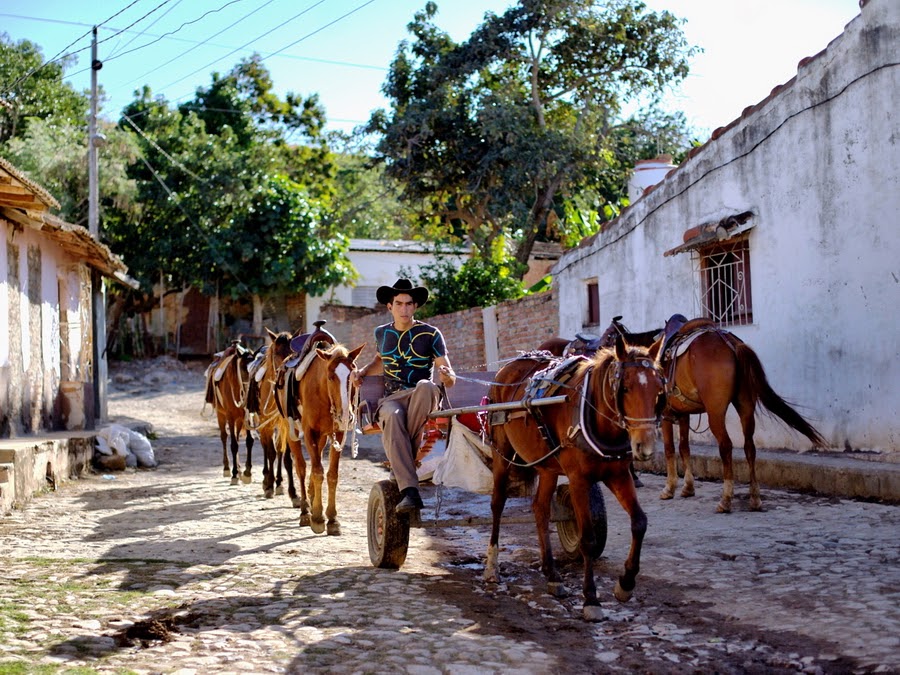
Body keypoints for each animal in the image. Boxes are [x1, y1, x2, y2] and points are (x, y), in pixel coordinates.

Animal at [205, 344, 255, 486]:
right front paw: (234, 474)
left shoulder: (247, 416)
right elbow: (233, 445)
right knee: (224, 437)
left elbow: (249, 441)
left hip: (239, 419)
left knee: (237, 438)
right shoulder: (230, 417)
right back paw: (228, 468)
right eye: (243, 370)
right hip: (221, 415)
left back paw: (239, 468)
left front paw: (247, 472)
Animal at [486, 336, 668, 620]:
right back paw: (492, 565)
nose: (645, 446)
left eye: (659, 389)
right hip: (502, 455)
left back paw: (552, 574)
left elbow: (639, 522)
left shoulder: (619, 474)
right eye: (625, 388)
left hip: (547, 466)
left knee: (540, 509)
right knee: (497, 504)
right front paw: (591, 599)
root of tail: (506, 369)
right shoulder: (578, 480)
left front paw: (626, 583)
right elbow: (588, 539)